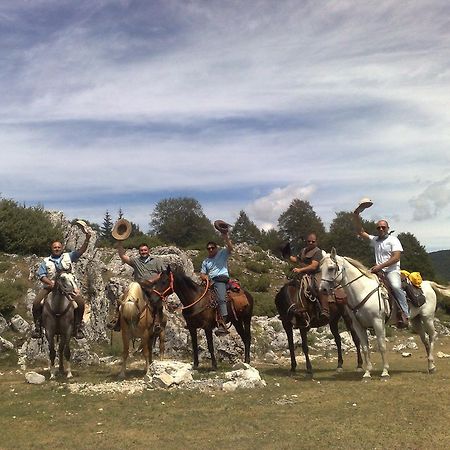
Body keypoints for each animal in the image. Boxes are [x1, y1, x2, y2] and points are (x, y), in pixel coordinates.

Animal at [318, 248, 392, 378]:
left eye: (331, 268)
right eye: (320, 268)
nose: (322, 289)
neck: (362, 291)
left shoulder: (378, 322)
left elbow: (382, 346)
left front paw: (385, 371)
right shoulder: (358, 325)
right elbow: (365, 347)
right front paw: (367, 372)